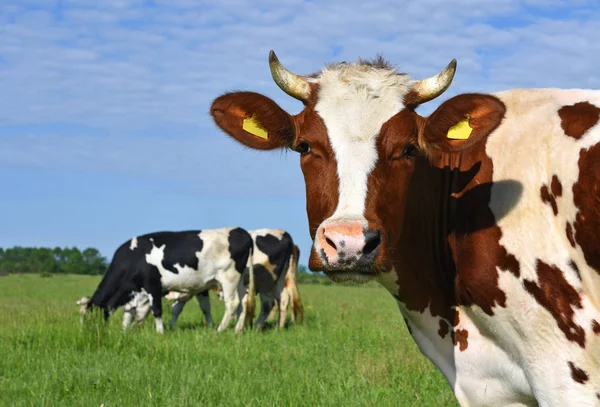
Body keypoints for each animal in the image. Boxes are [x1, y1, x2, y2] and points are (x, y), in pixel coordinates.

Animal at [76, 226, 254, 334]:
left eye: (89, 316)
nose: (86, 332)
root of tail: (239, 230)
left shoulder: (153, 286)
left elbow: (156, 310)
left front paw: (160, 333)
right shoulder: (135, 292)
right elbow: (130, 313)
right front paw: (125, 331)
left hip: (228, 278)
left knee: (232, 303)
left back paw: (220, 330)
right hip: (239, 280)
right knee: (243, 302)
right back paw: (237, 330)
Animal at [147, 231, 304, 330]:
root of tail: (284, 234)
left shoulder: (199, 288)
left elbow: (204, 307)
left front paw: (210, 325)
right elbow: (177, 308)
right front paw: (171, 326)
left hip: (265, 281)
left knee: (269, 304)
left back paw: (257, 327)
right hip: (279, 281)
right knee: (283, 299)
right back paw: (279, 327)